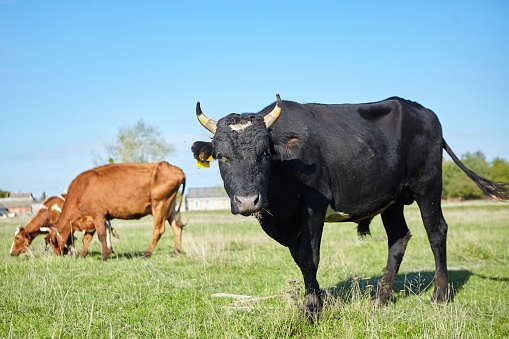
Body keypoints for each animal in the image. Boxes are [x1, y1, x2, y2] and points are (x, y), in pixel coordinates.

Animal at [51, 161, 185, 260]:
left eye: (52, 242)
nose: (56, 254)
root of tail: (176, 169)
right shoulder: (90, 221)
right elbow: (87, 238)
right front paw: (82, 255)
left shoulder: (98, 214)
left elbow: (101, 235)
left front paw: (104, 256)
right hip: (170, 206)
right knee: (176, 226)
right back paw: (176, 252)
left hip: (160, 204)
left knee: (158, 230)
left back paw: (146, 254)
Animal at [191, 94, 508, 314]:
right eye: (221, 156)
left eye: (265, 153)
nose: (247, 201)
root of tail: (421, 110)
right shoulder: (286, 221)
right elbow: (300, 259)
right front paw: (316, 299)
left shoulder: (314, 206)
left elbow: (309, 256)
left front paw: (311, 309)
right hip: (392, 198)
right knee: (398, 238)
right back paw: (382, 298)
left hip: (427, 184)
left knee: (436, 231)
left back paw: (440, 295)